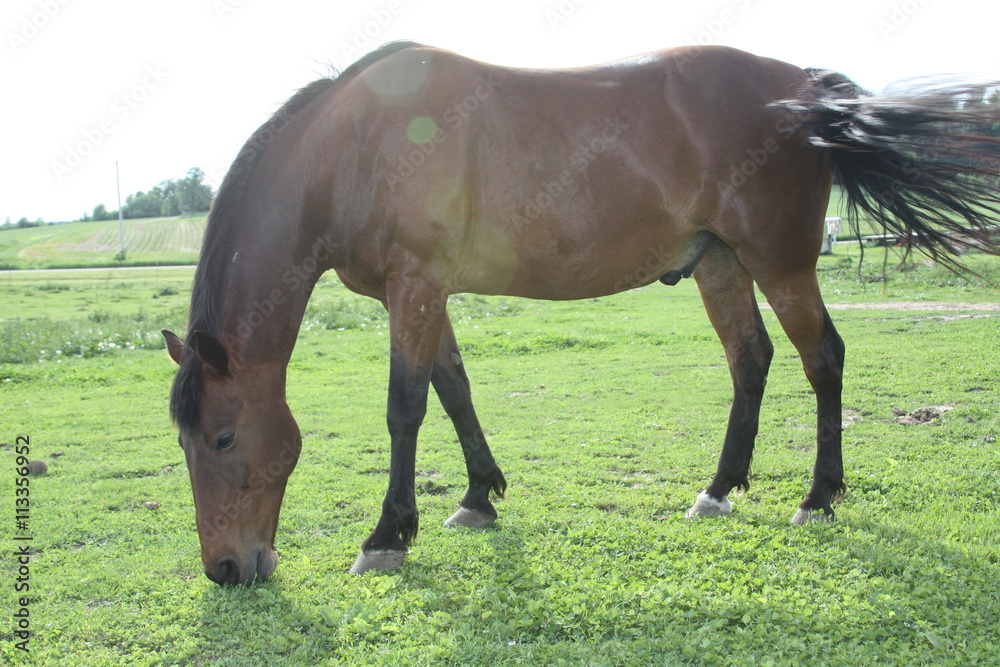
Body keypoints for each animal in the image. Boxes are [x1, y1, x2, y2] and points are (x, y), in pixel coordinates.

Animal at [162, 41, 1000, 585]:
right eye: (185, 442)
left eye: (224, 435)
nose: (227, 568)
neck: (356, 147)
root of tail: (807, 88)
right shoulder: (426, 290)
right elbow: (454, 390)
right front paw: (477, 497)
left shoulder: (415, 284)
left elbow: (406, 407)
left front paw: (388, 534)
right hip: (722, 263)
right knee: (750, 360)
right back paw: (719, 488)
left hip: (781, 262)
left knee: (821, 357)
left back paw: (818, 497)